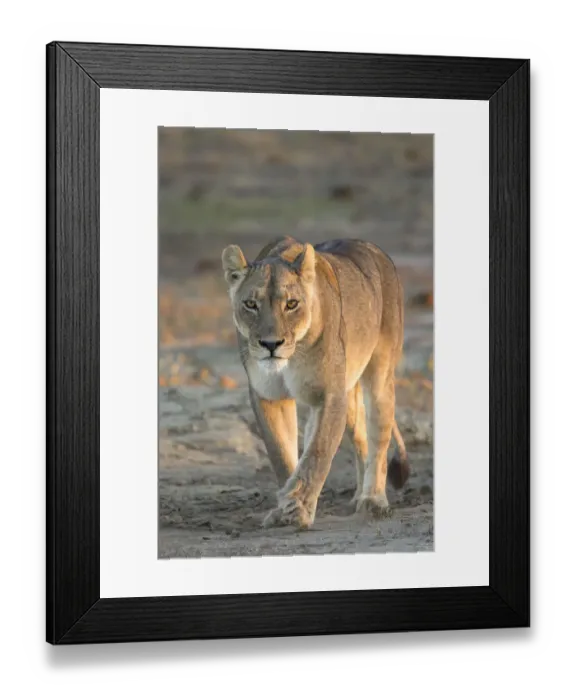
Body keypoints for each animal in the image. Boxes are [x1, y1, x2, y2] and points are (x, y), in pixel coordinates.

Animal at [222, 236, 410, 529]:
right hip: (347, 394)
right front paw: (285, 507)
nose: (271, 344)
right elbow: (282, 454)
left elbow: (317, 453)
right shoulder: (268, 396)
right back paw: (357, 498)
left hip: (379, 377)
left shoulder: (330, 395)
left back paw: (373, 502)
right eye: (251, 304)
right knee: (360, 439)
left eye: (291, 304)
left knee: (379, 438)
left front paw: (298, 508)